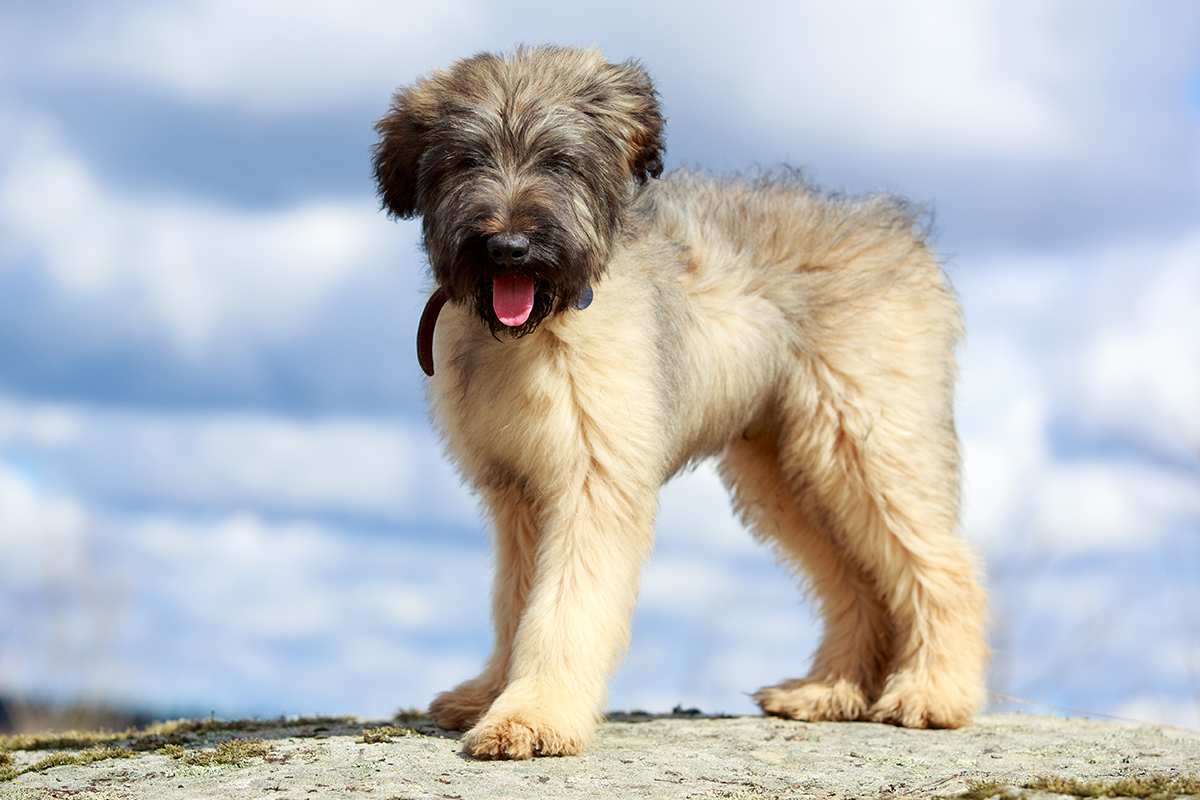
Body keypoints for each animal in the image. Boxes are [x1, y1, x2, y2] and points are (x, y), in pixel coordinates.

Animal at [372, 45, 984, 762]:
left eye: (561, 161)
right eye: (467, 161)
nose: (509, 248)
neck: (538, 330)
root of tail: (900, 233)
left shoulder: (592, 476)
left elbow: (564, 605)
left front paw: (531, 716)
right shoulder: (516, 489)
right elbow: (515, 600)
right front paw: (490, 692)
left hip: (868, 436)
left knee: (942, 563)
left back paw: (932, 692)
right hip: (787, 470)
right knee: (856, 578)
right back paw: (827, 691)